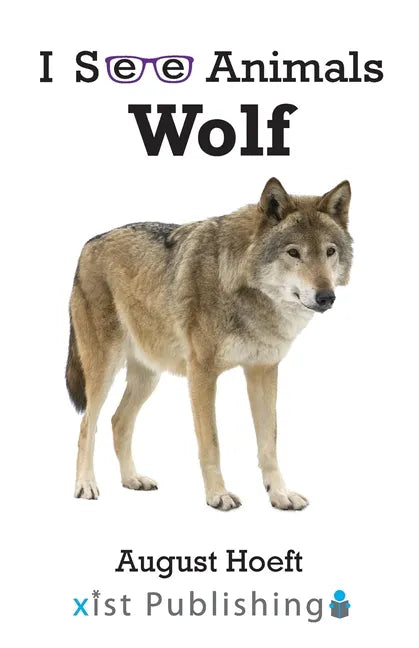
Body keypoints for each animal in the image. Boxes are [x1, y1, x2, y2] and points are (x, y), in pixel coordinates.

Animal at [66, 177, 352, 510]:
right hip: (103, 370)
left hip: (148, 376)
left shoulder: (264, 370)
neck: (245, 289)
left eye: (330, 251)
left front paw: (280, 494)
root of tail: (88, 244)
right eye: (293, 252)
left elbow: (269, 443)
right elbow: (211, 443)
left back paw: (133, 479)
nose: (326, 296)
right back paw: (86, 485)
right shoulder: (202, 373)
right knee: (87, 425)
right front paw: (218, 495)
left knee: (118, 421)